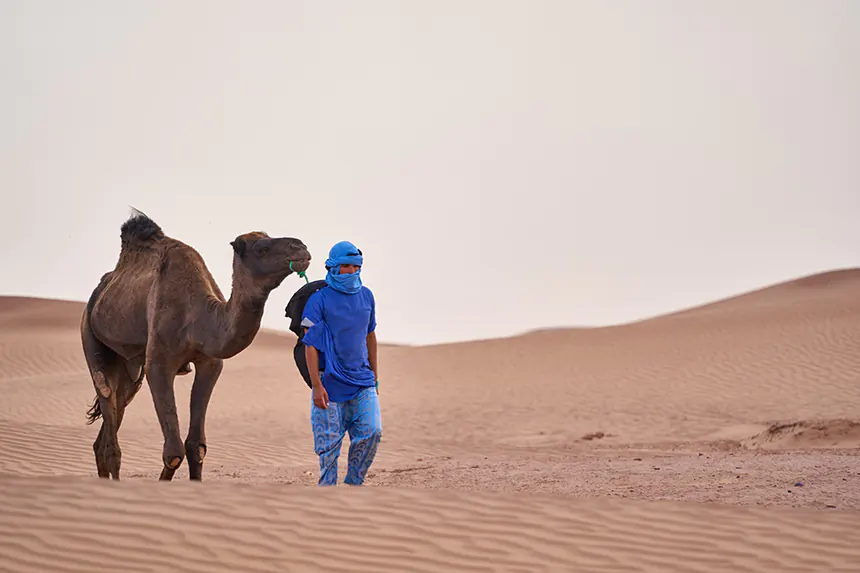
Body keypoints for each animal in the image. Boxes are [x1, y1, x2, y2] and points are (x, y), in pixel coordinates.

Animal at [82, 208, 310, 480]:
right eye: (262, 248)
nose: (301, 247)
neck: (198, 317)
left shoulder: (209, 363)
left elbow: (196, 446)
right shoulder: (159, 364)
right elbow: (173, 452)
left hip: (130, 369)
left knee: (114, 412)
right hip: (91, 336)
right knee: (106, 396)